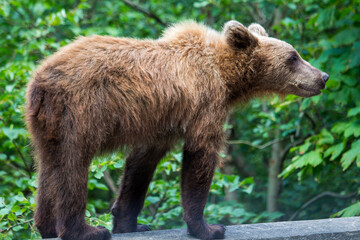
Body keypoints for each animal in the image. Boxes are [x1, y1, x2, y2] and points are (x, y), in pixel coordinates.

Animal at [26, 20, 330, 240]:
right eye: (293, 57)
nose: (323, 76)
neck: (227, 77)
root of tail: (41, 78)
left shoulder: (162, 121)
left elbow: (140, 166)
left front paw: (131, 223)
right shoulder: (206, 103)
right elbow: (201, 155)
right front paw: (209, 228)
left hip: (45, 122)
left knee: (48, 166)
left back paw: (46, 226)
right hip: (81, 110)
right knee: (72, 165)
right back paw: (85, 231)